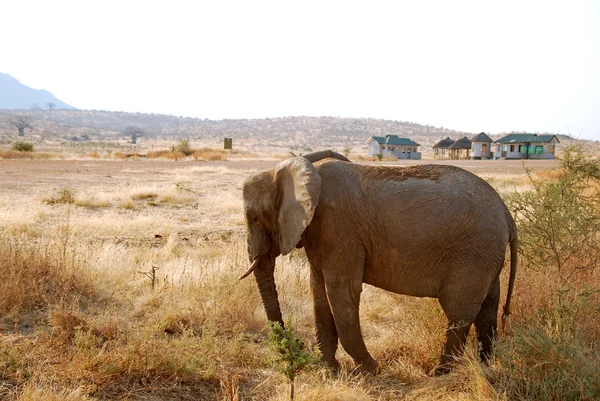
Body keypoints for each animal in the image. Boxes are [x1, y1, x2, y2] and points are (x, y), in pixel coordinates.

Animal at [239, 150, 516, 372]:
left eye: (254, 217)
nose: (293, 343)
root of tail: (505, 211)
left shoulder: (339, 229)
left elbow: (342, 292)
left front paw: (371, 370)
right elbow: (318, 292)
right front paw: (330, 371)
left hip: (474, 253)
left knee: (459, 314)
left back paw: (441, 373)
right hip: (486, 255)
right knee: (487, 310)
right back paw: (485, 367)